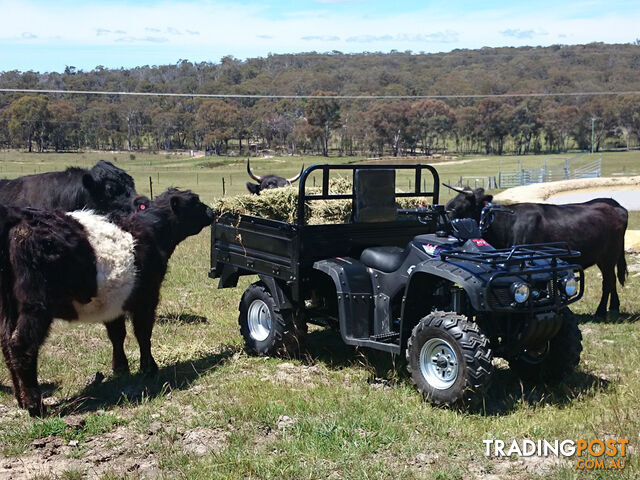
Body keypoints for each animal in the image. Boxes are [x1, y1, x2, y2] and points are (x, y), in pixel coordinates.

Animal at [0, 188, 215, 416]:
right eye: (195, 201)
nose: (212, 211)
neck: (151, 231)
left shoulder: (114, 302)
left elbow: (117, 334)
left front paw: (121, 368)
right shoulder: (147, 297)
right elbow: (143, 333)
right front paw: (149, 368)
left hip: (9, 307)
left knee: (6, 345)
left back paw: (20, 399)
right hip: (36, 305)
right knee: (21, 345)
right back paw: (35, 405)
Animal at [448, 188, 628, 318]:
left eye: (456, 208)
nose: (445, 214)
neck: (507, 225)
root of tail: (615, 207)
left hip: (608, 257)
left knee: (608, 282)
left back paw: (601, 311)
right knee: (612, 281)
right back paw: (614, 307)